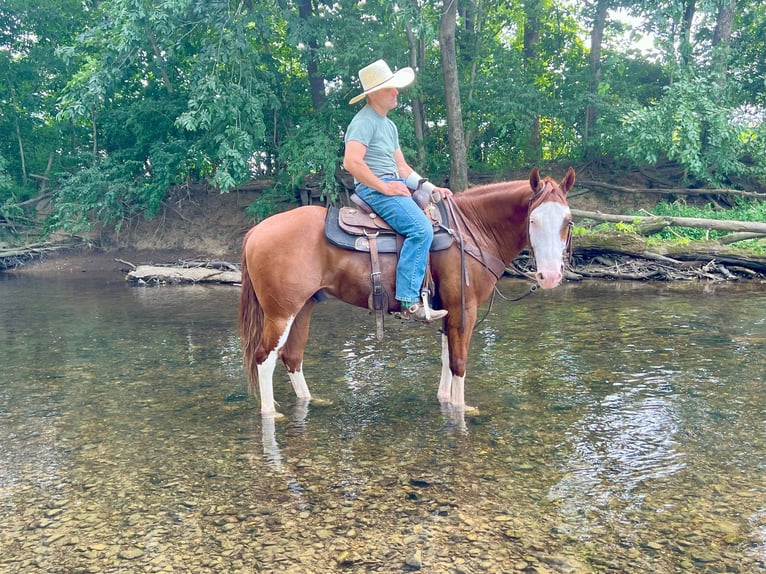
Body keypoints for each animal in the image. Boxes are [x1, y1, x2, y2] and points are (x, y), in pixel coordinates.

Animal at [239, 167, 575, 418]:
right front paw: (461, 409)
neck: (471, 231)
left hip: (304, 306)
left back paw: (311, 402)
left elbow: (446, 358)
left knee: (292, 356)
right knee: (264, 358)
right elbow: (459, 362)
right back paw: (271, 414)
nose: (550, 276)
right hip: (281, 313)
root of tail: (256, 231)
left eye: (568, 221)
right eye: (533, 219)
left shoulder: (448, 309)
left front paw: (444, 400)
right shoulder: (464, 308)